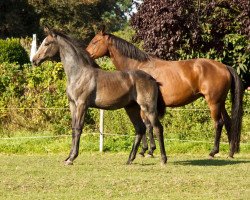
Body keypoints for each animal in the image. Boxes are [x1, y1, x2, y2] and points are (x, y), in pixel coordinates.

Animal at [32, 28, 167, 166]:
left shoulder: (82, 104)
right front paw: (68, 157)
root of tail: (152, 79)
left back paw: (163, 159)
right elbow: (73, 128)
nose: (34, 60)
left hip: (148, 108)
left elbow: (78, 128)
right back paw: (130, 159)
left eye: (47, 43)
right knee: (140, 129)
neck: (79, 73)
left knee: (157, 128)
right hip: (131, 108)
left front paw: (72, 158)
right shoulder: (72, 104)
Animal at [86, 27, 244, 158]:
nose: (86, 54)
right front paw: (147, 150)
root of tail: (224, 67)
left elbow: (147, 125)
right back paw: (230, 153)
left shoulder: (145, 105)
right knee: (228, 122)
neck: (138, 66)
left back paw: (213, 152)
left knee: (219, 123)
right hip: (220, 103)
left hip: (213, 103)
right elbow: (147, 125)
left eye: (95, 41)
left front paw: (148, 150)